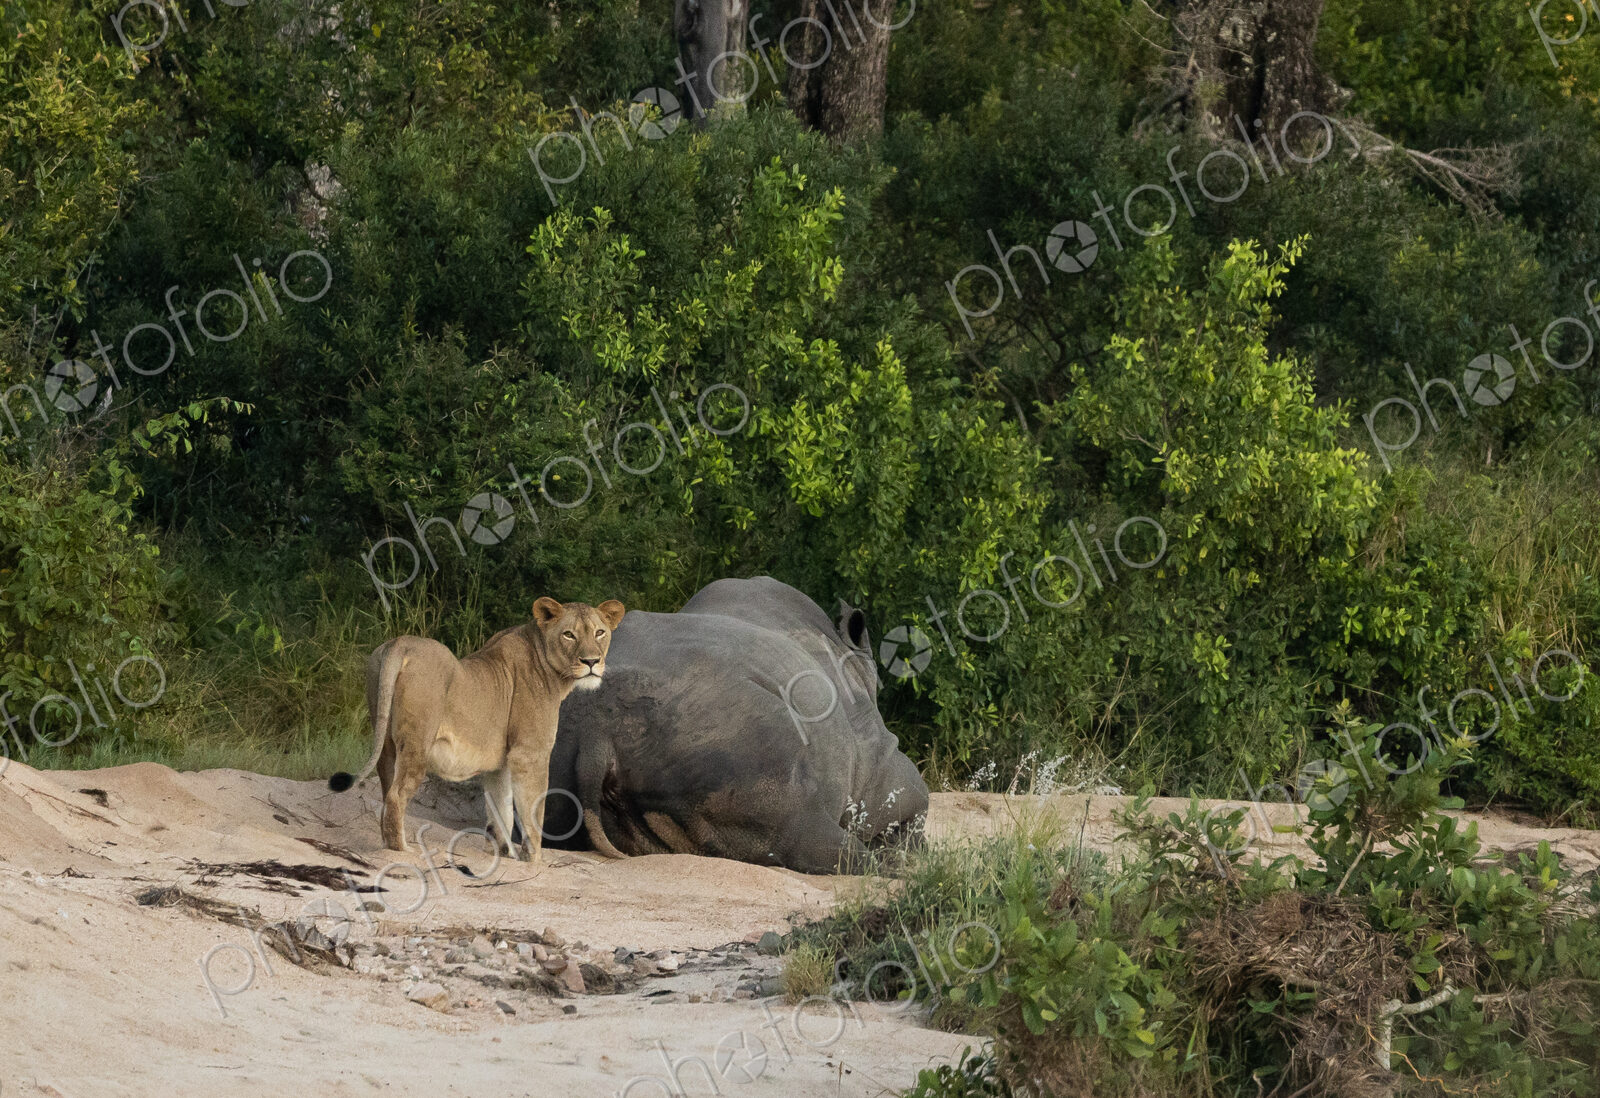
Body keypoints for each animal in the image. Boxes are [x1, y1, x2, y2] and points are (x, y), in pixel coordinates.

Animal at [328, 596, 625, 862]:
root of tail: (401, 643)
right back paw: (402, 851)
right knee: (395, 797)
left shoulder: (500, 764)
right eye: (569, 635)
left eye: (599, 632)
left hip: (385, 739)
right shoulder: (530, 753)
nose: (591, 662)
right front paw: (535, 860)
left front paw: (505, 855)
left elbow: (501, 811)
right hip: (417, 743)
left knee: (385, 789)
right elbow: (532, 813)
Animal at [532, 576, 929, 873]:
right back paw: (882, 867)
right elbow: (912, 802)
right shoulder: (879, 756)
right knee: (804, 825)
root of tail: (596, 735)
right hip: (733, 738)